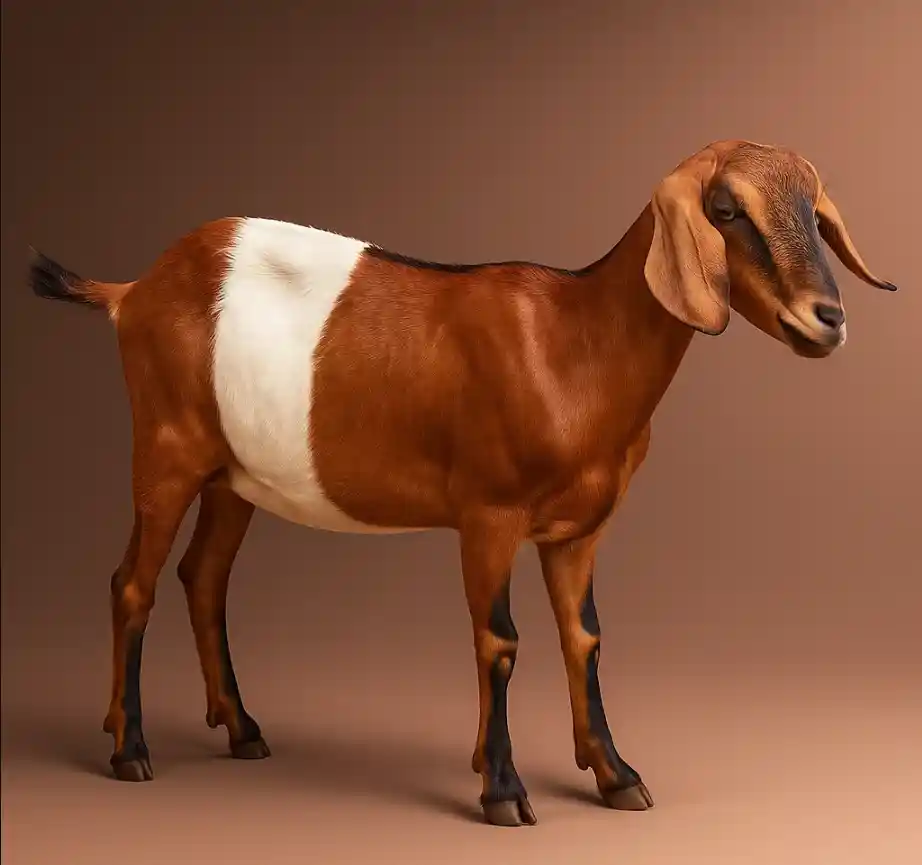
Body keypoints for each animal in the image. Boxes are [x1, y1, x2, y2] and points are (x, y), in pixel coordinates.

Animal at [29, 139, 896, 827]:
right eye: (725, 208)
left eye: (815, 212)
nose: (826, 318)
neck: (575, 341)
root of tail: (133, 291)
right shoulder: (490, 514)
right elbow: (499, 640)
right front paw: (504, 790)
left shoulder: (580, 530)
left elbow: (585, 637)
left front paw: (615, 774)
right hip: (166, 450)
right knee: (131, 583)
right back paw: (130, 747)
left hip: (234, 474)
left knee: (203, 577)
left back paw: (243, 729)